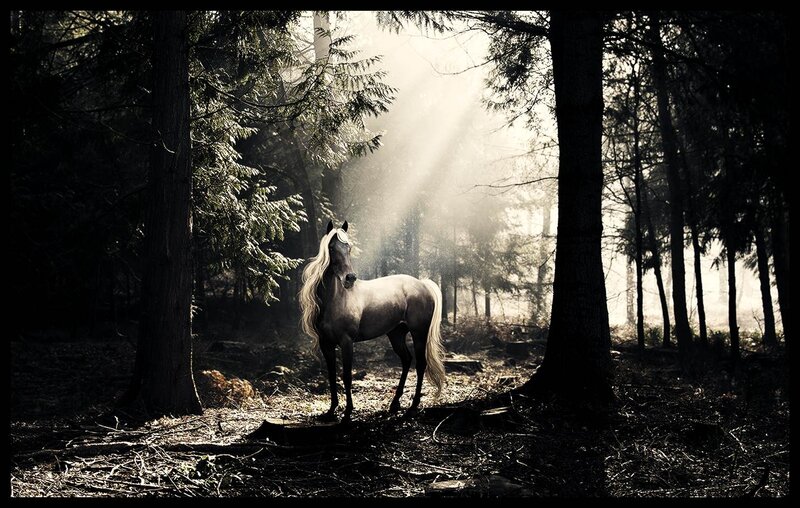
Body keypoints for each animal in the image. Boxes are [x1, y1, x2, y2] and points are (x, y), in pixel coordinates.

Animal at [299, 220, 446, 421]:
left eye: (349, 247)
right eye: (331, 247)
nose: (350, 278)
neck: (336, 299)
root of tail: (422, 284)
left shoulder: (346, 342)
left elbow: (346, 376)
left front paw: (347, 413)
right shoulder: (325, 344)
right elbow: (331, 375)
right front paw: (331, 411)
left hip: (419, 333)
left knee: (421, 364)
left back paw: (413, 406)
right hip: (396, 334)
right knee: (406, 360)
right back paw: (394, 404)